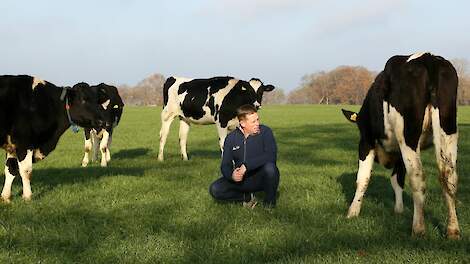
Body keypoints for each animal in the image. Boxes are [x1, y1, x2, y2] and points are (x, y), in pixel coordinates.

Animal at [0, 74, 107, 202]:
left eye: (97, 100)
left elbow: (10, 169)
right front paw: (27, 196)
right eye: (83, 99)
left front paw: (5, 197)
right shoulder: (24, 143)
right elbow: (26, 170)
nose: (102, 121)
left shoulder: (12, 146)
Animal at [342, 52, 458, 239]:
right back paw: (453, 230)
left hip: (407, 135)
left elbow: (363, 178)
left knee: (418, 176)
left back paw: (418, 228)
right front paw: (399, 210)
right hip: (447, 128)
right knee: (449, 176)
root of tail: (428, 57)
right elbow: (397, 180)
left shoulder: (366, 141)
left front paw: (352, 212)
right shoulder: (399, 157)